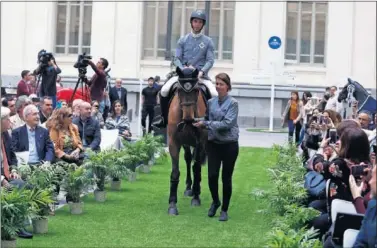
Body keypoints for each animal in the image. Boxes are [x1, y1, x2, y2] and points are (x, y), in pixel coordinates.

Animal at [167, 66, 209, 215]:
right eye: (179, 91)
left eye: (196, 91)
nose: (189, 120)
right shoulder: (173, 143)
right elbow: (175, 172)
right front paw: (172, 204)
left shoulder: (200, 143)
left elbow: (196, 168)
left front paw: (196, 198)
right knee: (187, 158)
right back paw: (188, 188)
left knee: (195, 164)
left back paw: (196, 190)